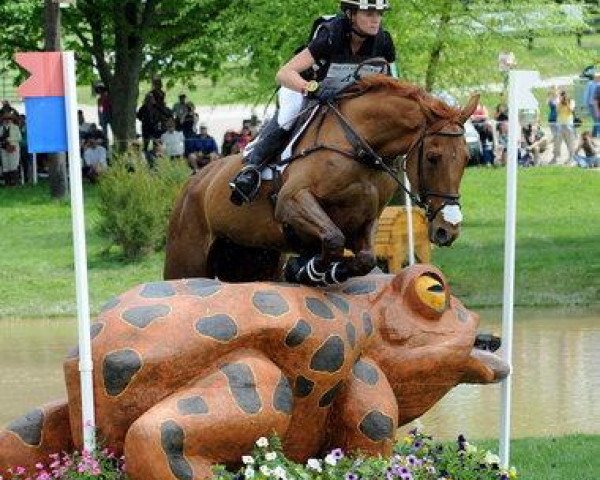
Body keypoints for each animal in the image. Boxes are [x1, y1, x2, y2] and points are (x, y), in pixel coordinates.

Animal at [164, 75, 478, 284]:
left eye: (466, 158)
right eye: (433, 157)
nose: (447, 229)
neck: (358, 147)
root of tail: (193, 182)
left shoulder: (365, 220)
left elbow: (363, 257)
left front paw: (318, 270)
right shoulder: (292, 201)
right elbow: (333, 238)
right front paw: (305, 269)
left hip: (250, 257)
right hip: (185, 259)